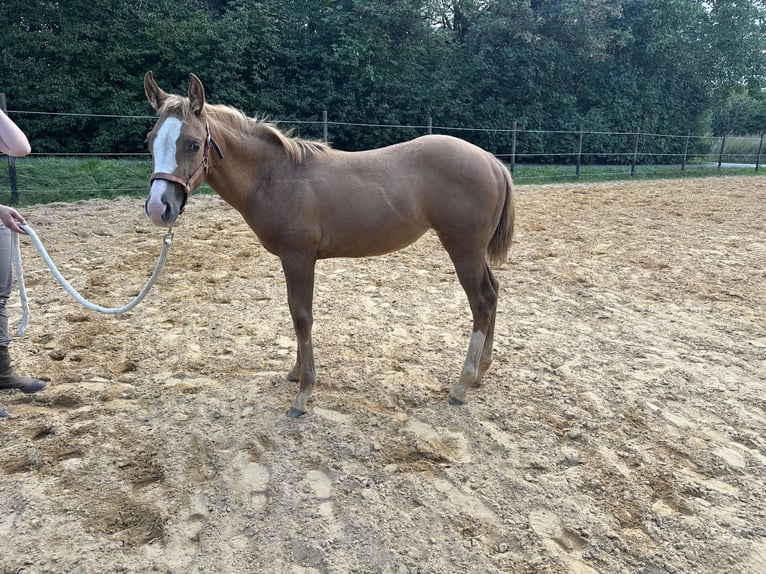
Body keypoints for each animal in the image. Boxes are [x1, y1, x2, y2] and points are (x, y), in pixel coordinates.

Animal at [143, 72, 515, 417]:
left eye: (193, 144)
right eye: (150, 140)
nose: (159, 208)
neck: (276, 177)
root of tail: (492, 161)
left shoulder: (299, 257)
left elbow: (302, 316)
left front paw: (303, 394)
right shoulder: (291, 260)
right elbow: (294, 312)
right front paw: (296, 373)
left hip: (463, 249)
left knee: (481, 301)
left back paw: (462, 384)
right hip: (473, 252)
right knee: (494, 291)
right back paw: (481, 372)